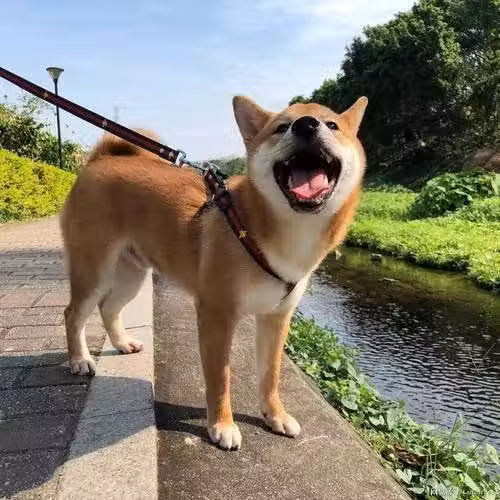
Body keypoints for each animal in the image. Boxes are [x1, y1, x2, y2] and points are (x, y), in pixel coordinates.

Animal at [60, 95, 367, 450]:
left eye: (332, 125)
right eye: (281, 127)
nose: (306, 124)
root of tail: (98, 161)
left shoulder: (276, 318)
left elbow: (271, 375)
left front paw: (275, 416)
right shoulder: (217, 314)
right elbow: (220, 377)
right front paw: (222, 425)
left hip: (130, 275)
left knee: (108, 307)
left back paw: (122, 343)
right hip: (94, 268)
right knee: (73, 313)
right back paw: (80, 360)